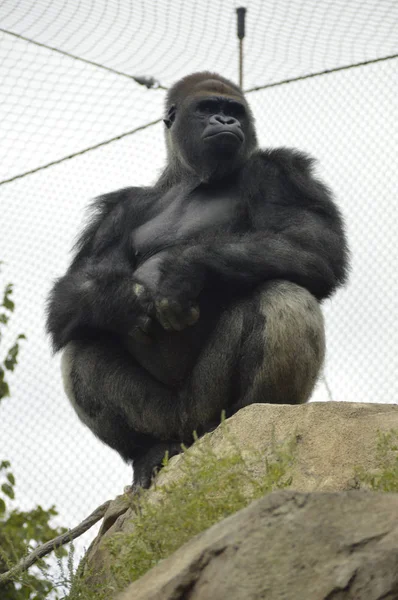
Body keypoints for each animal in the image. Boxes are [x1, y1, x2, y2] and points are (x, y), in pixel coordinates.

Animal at [47, 72, 348, 490]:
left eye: (234, 109)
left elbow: (312, 243)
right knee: (83, 343)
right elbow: (73, 294)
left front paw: (184, 272)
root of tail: (192, 436)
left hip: (209, 410)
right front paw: (120, 299)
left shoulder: (282, 171)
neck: (189, 179)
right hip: (168, 419)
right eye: (208, 108)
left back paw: (253, 419)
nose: (227, 122)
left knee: (283, 295)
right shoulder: (117, 212)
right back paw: (147, 450)